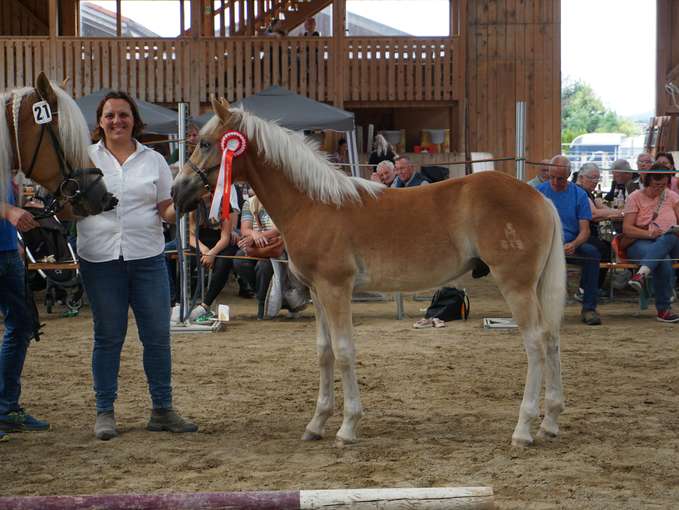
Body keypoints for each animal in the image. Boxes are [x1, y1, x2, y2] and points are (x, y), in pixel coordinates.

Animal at [174, 98, 568, 446]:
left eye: (206, 143)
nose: (178, 192)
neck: (313, 204)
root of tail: (539, 198)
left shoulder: (336, 289)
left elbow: (344, 350)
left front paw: (348, 427)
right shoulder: (317, 291)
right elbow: (324, 352)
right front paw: (317, 423)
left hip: (516, 285)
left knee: (535, 343)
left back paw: (523, 429)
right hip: (533, 288)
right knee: (551, 338)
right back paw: (549, 422)